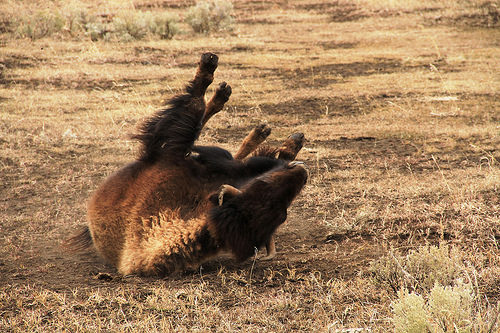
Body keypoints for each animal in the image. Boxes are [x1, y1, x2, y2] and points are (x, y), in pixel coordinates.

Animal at [64, 52, 306, 274]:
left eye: (282, 213)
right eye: (262, 186)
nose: (302, 173)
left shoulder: (175, 154)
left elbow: (193, 108)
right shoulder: (181, 157)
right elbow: (194, 109)